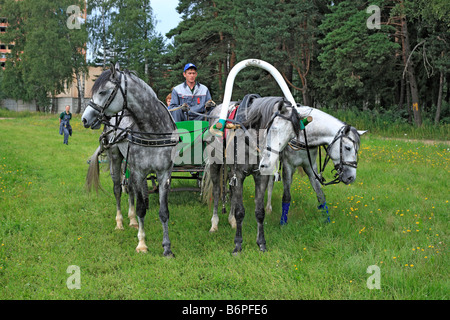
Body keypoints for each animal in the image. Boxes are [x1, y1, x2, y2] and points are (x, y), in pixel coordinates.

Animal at [82, 63, 178, 256]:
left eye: (102, 92)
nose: (85, 119)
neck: (152, 131)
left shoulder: (164, 174)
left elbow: (163, 211)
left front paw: (167, 248)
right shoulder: (139, 172)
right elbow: (141, 207)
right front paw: (142, 244)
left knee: (131, 189)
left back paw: (132, 220)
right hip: (116, 158)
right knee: (118, 190)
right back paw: (120, 222)